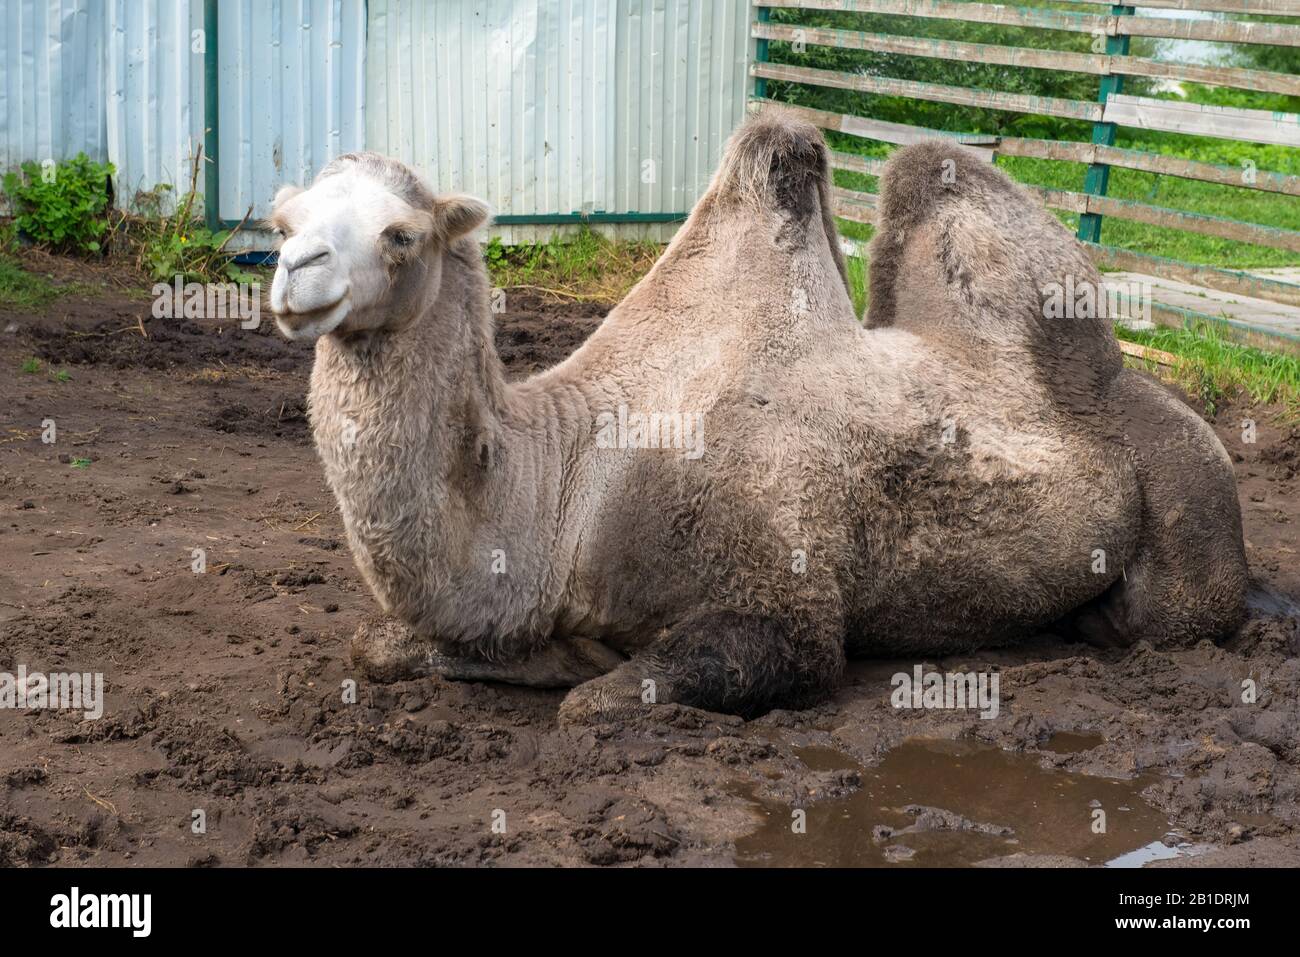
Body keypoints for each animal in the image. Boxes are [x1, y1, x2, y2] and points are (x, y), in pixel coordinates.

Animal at [268, 110, 1247, 724]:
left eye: (402, 234)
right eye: (284, 221)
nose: (294, 274)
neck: (564, 483)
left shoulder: (781, 595)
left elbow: (600, 705)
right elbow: (374, 644)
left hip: (1190, 500)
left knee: (1174, 615)